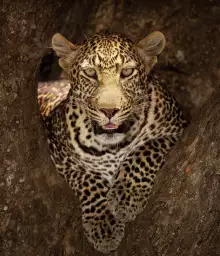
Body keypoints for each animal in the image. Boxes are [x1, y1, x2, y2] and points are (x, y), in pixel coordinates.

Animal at [37, 31, 186, 253]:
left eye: (127, 72)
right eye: (90, 73)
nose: (109, 111)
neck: (112, 147)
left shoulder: (176, 129)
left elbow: (144, 151)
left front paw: (126, 196)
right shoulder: (59, 154)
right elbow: (87, 179)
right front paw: (103, 225)